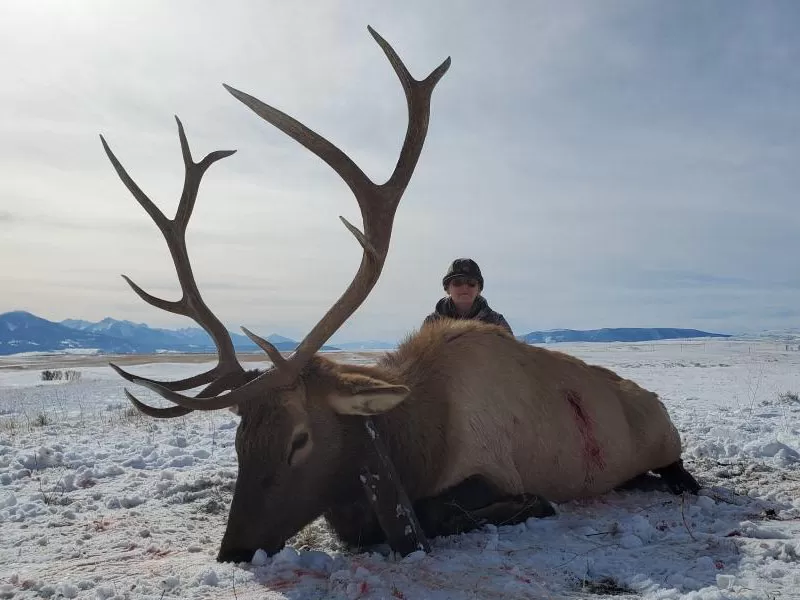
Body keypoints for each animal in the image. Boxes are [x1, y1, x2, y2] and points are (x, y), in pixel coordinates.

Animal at [101, 27, 700, 564]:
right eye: (238, 439)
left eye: (300, 439)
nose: (234, 550)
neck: (414, 437)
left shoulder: (492, 466)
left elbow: (441, 511)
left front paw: (530, 504)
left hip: (663, 436)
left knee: (676, 468)